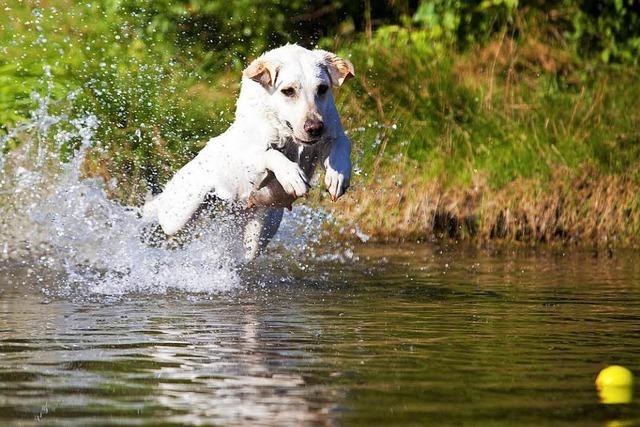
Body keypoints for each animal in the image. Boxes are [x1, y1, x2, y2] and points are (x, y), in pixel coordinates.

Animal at [144, 45, 356, 260]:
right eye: (288, 91)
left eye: (322, 89)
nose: (314, 128)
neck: (287, 135)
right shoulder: (250, 160)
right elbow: (271, 154)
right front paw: (292, 175)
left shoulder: (332, 133)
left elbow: (341, 145)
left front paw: (337, 177)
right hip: (179, 213)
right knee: (162, 216)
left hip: (258, 232)